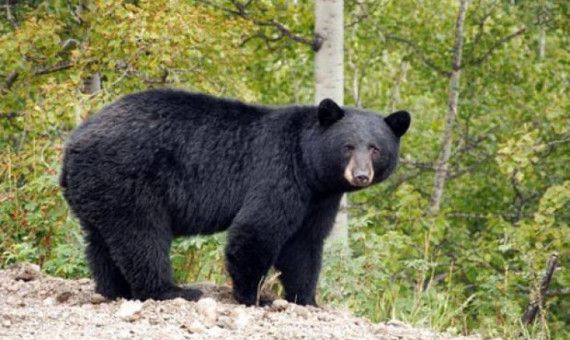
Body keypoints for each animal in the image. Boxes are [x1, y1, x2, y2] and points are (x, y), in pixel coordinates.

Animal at [60, 89, 408, 306]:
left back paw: (114, 289)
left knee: (101, 242)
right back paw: (171, 290)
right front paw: (256, 296)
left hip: (98, 188)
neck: (310, 167)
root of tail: (73, 144)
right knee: (142, 236)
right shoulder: (278, 172)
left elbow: (304, 245)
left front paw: (306, 299)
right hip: (128, 178)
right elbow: (257, 230)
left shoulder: (319, 199)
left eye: (375, 148)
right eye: (347, 146)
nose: (360, 175)